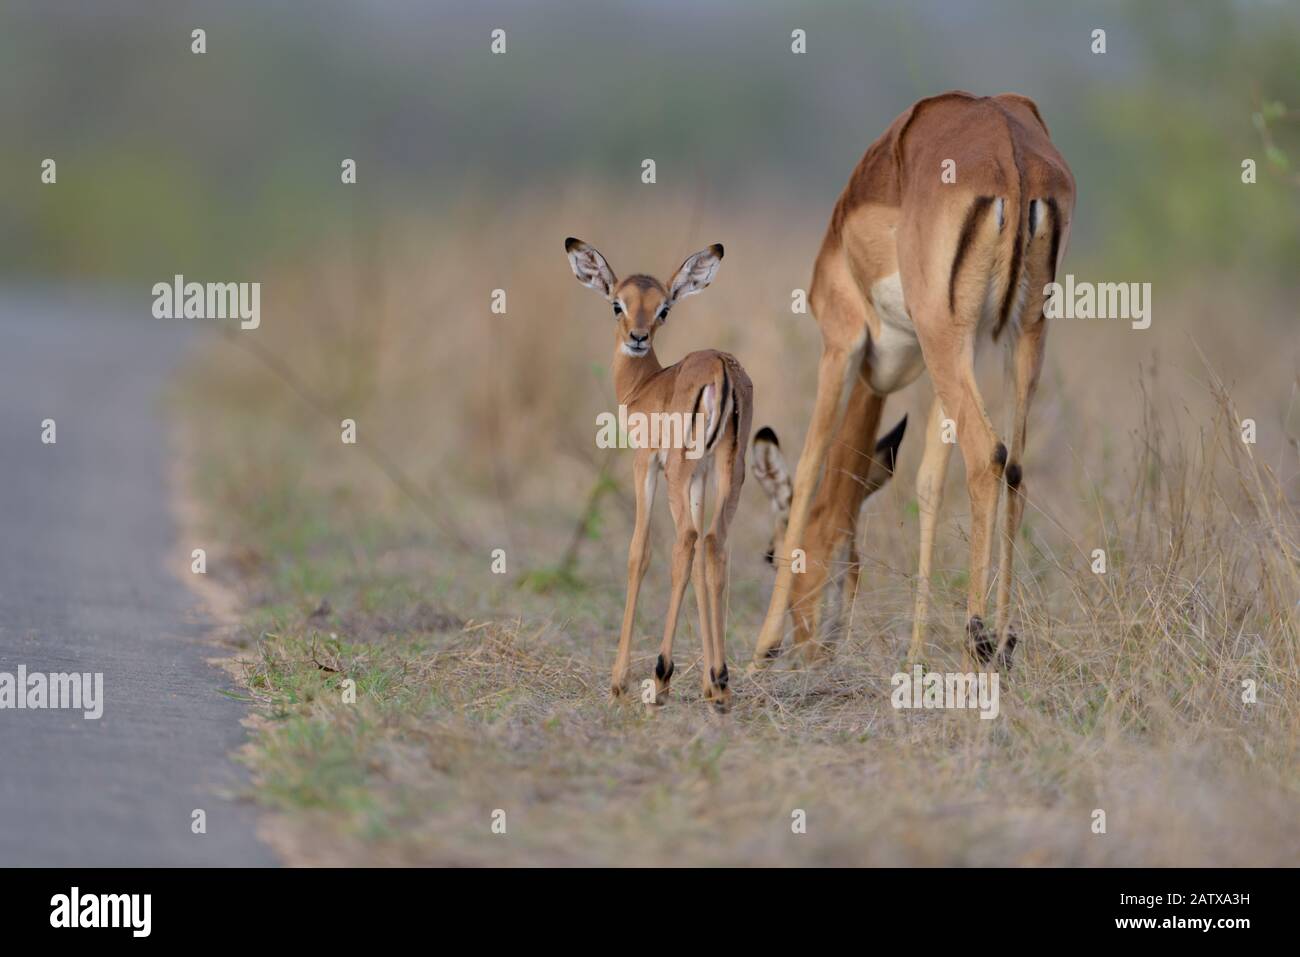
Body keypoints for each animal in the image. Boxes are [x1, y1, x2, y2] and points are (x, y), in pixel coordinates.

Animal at [564, 238, 753, 711]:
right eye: (619, 303)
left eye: (663, 308)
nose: (638, 337)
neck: (645, 386)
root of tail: (721, 367)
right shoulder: (701, 478)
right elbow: (703, 564)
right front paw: (708, 681)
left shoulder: (645, 463)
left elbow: (639, 553)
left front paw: (618, 681)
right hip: (731, 471)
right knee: (713, 543)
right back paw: (721, 682)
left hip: (677, 474)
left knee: (684, 541)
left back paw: (662, 676)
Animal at [750, 91, 1075, 671]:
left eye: (770, 553)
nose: (817, 650)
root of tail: (1009, 148)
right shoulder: (949, 352)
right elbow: (928, 483)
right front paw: (917, 650)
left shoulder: (841, 343)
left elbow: (808, 466)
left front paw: (758, 650)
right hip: (1018, 335)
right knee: (1014, 466)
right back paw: (1005, 640)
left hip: (947, 335)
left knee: (988, 456)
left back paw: (978, 639)